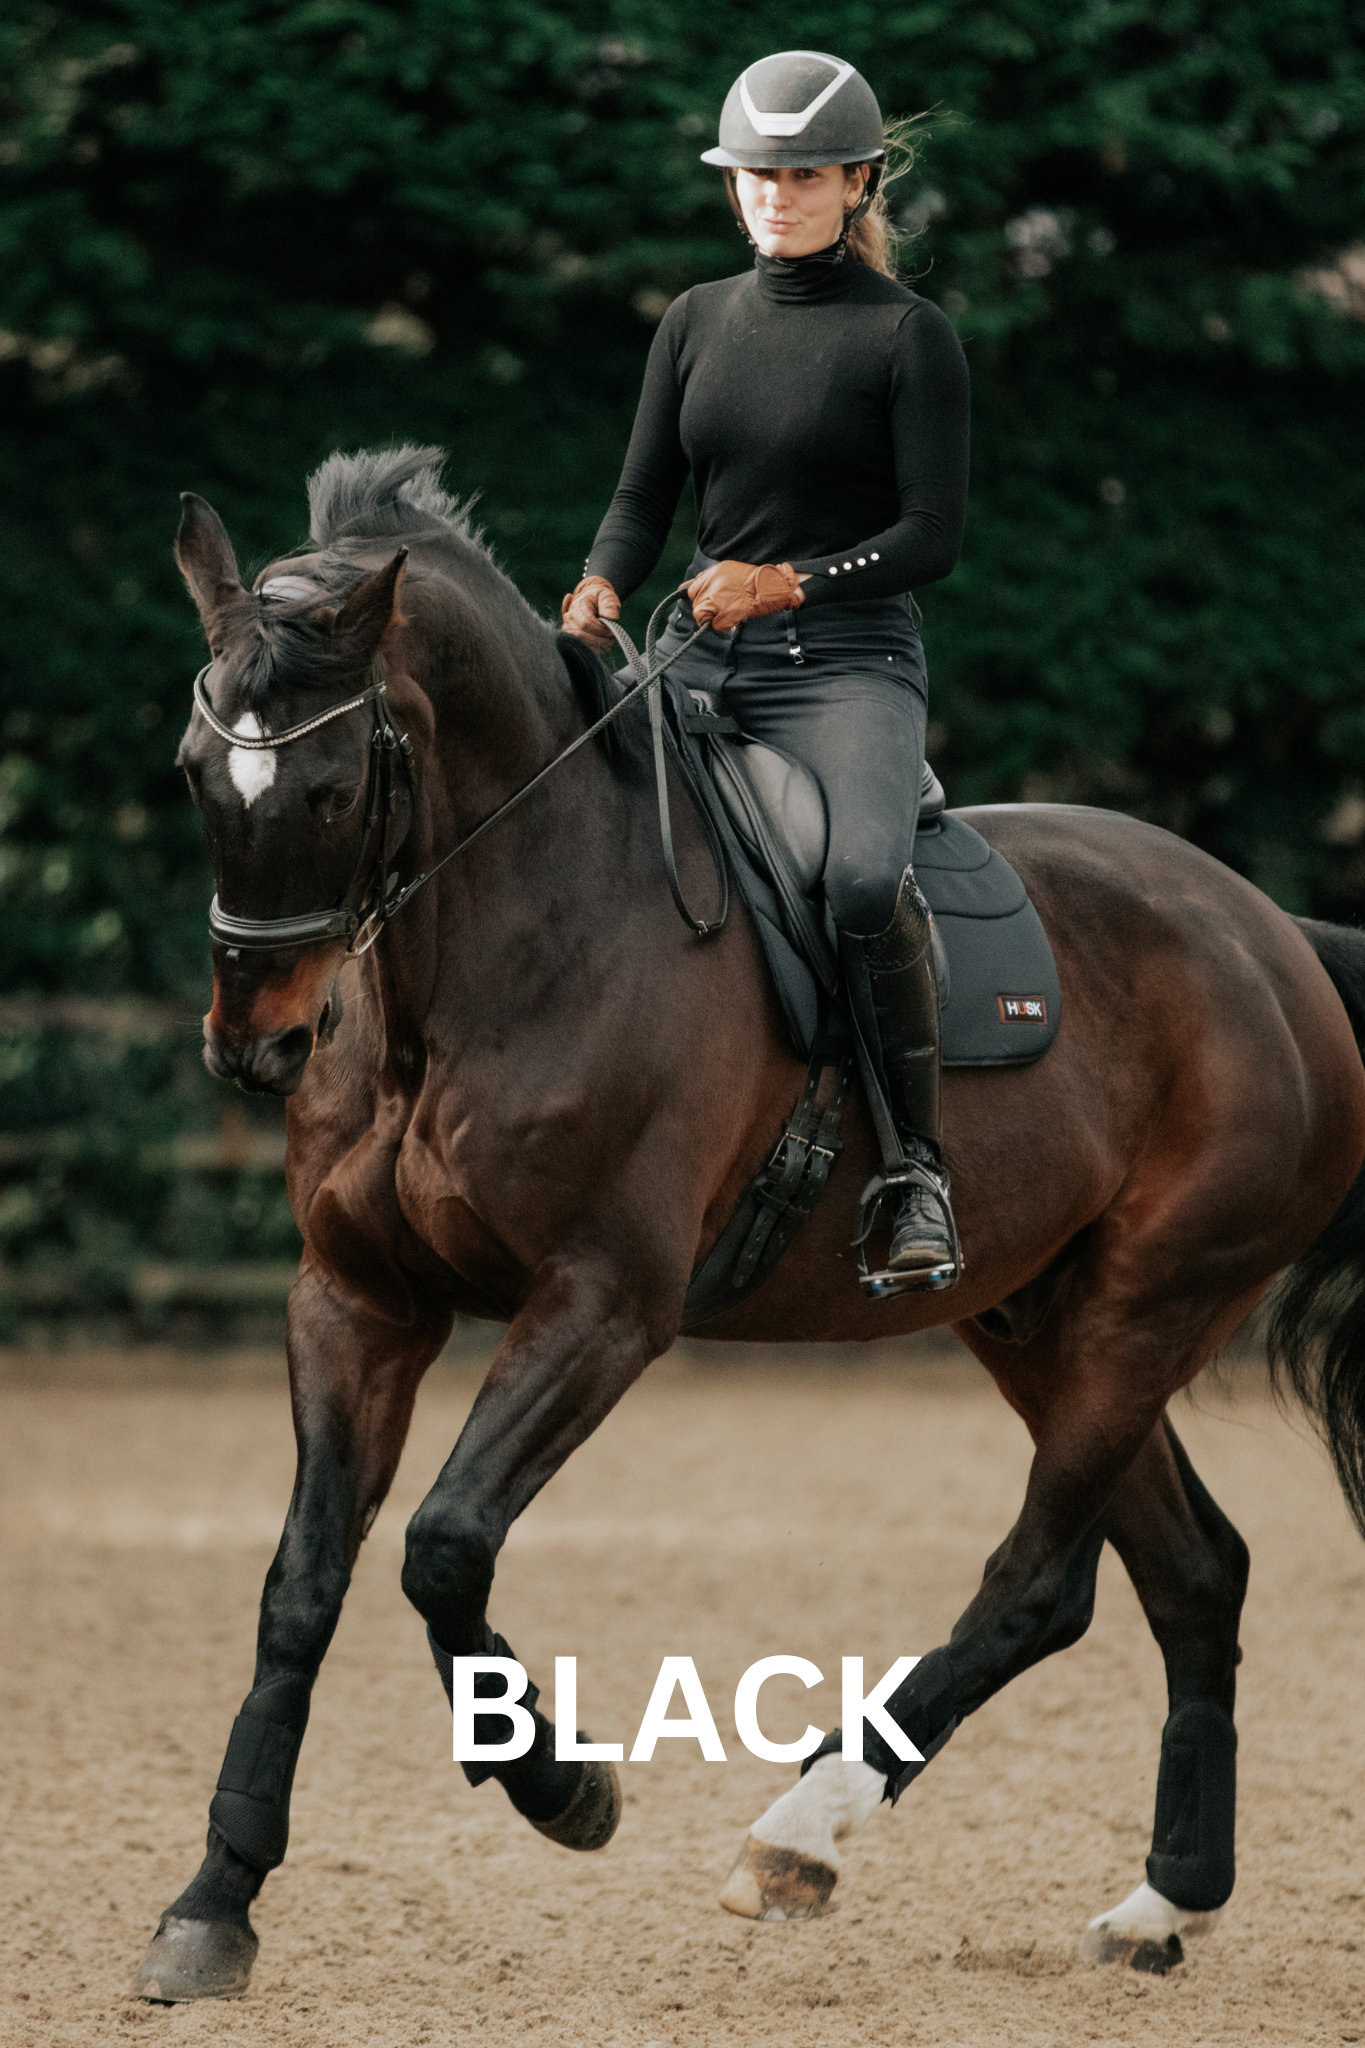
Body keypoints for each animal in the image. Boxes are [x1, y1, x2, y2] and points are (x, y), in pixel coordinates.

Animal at [133, 445, 1365, 2000]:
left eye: (335, 781)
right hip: (1041, 1319)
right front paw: (214, 1901)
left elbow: (444, 1545)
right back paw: (1162, 1906)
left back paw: (802, 1835)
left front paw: (564, 1789)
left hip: (1149, 1307)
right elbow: (302, 1583)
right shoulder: (357, 1302)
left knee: (1039, 1581)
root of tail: (1277, 939)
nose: (259, 1047)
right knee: (1193, 1573)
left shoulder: (603, 1306)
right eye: (194, 773)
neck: (494, 959)